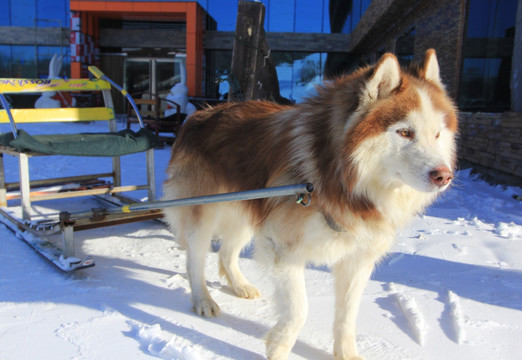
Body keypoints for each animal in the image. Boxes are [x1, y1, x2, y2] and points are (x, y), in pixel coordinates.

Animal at [161, 49, 456, 358]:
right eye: (404, 133)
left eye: (437, 134)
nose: (444, 176)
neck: (343, 179)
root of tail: (198, 115)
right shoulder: (284, 248)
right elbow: (299, 309)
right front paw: (279, 347)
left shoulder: (357, 259)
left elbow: (347, 315)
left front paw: (346, 353)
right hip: (203, 213)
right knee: (195, 258)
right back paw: (203, 300)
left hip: (248, 210)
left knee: (228, 252)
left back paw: (240, 285)